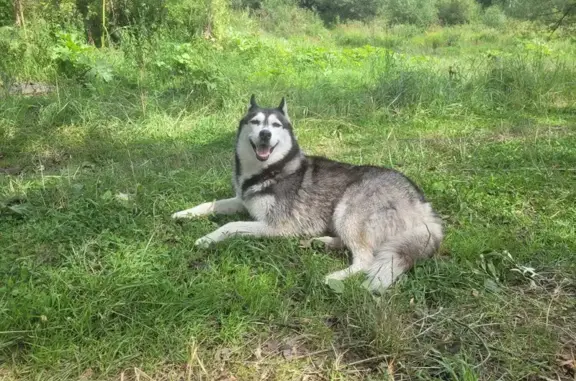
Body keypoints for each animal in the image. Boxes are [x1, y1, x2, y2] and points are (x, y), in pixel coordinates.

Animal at [171, 95, 440, 290]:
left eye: (276, 125)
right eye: (255, 122)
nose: (265, 134)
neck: (270, 171)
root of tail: (422, 204)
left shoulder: (277, 226)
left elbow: (231, 225)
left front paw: (207, 239)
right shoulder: (242, 200)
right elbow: (211, 204)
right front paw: (183, 213)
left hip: (348, 209)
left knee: (366, 259)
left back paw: (334, 277)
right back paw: (323, 242)